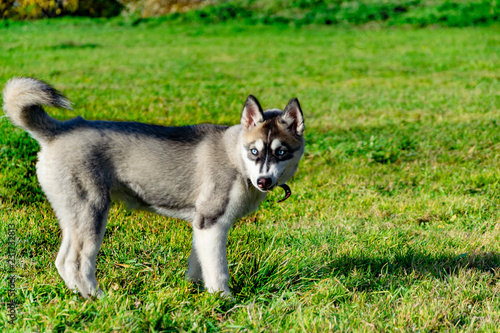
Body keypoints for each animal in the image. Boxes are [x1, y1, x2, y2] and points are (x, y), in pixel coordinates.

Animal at [2, 78, 304, 298]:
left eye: (281, 152)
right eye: (254, 151)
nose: (263, 181)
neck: (235, 157)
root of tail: (59, 130)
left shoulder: (201, 226)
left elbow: (199, 264)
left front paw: (193, 293)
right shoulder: (212, 222)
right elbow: (218, 271)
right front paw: (224, 301)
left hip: (73, 214)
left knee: (62, 260)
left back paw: (80, 297)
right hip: (92, 212)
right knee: (75, 262)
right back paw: (101, 300)